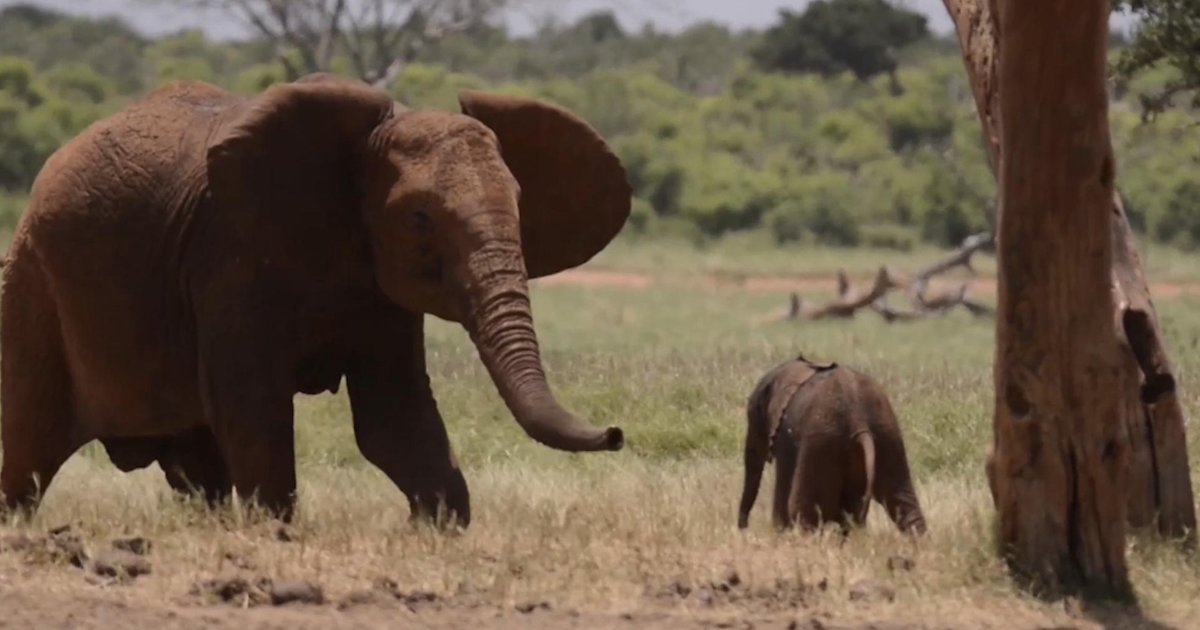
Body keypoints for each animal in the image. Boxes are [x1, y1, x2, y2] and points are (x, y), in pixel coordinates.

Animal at [0, 73, 633, 525]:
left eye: (521, 207)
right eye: (420, 218)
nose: (616, 433)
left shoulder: (379, 288)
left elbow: (392, 415)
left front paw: (434, 527)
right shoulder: (228, 255)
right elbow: (252, 403)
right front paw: (276, 530)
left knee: (196, 466)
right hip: (30, 285)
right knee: (26, 454)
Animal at [739, 355, 926, 532]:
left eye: (755, 413)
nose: (744, 528)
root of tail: (858, 419)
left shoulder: (784, 436)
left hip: (822, 442)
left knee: (804, 510)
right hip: (886, 432)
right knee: (904, 502)